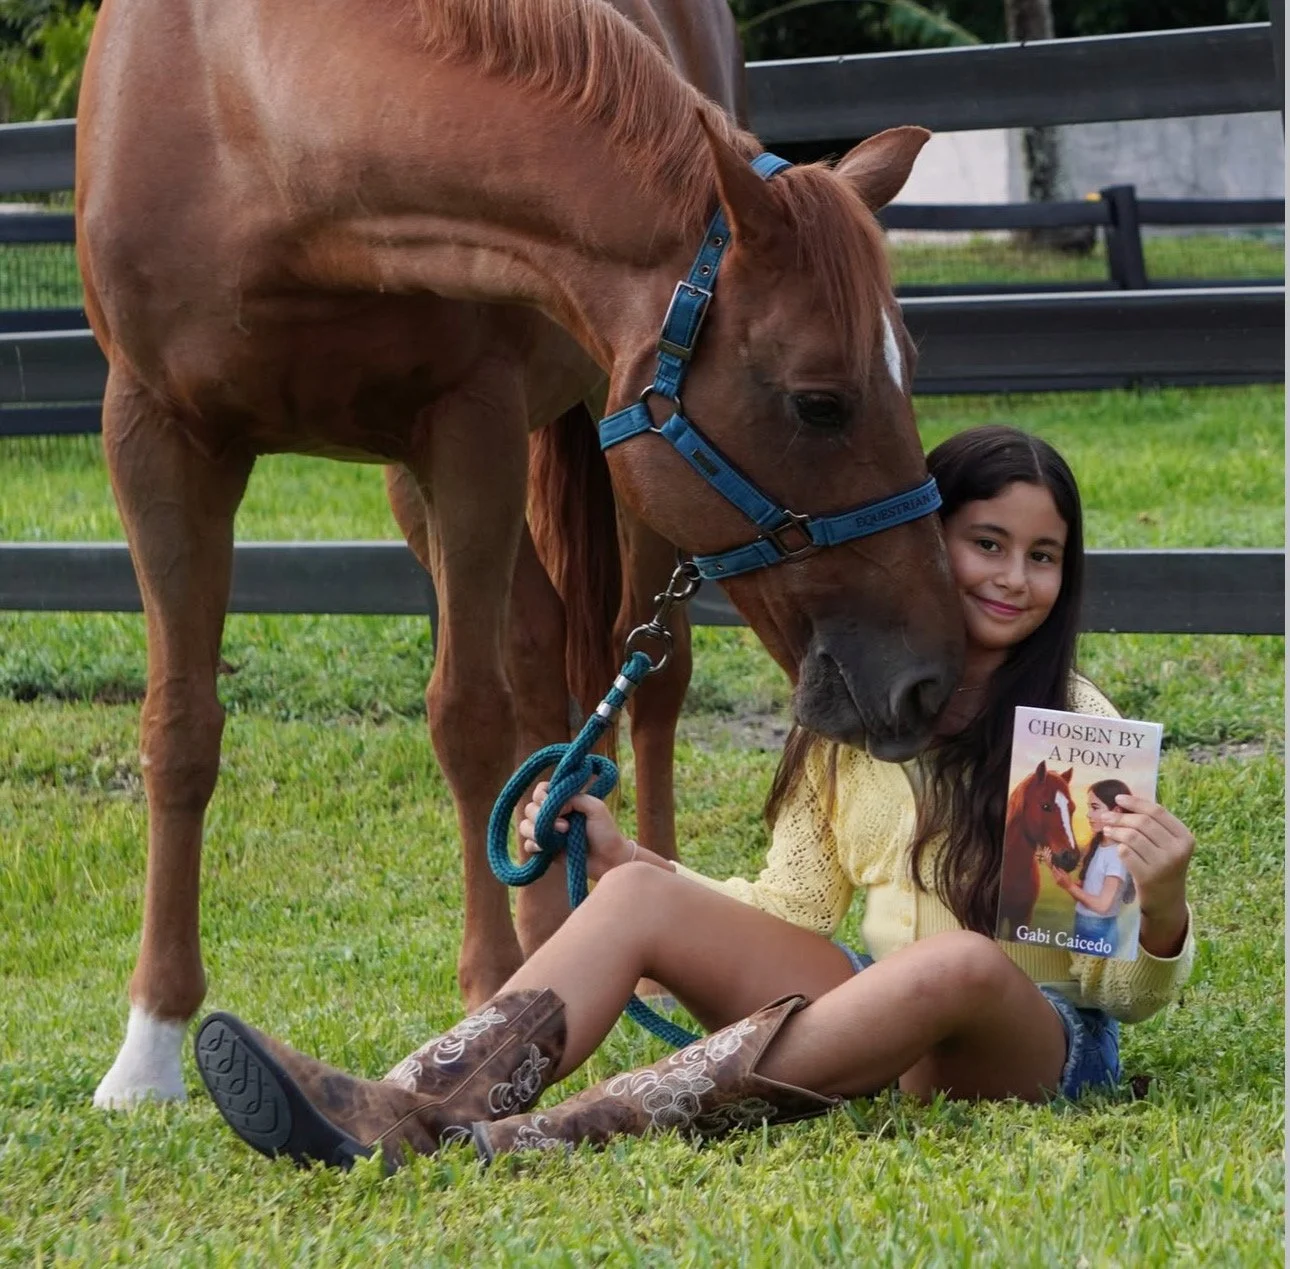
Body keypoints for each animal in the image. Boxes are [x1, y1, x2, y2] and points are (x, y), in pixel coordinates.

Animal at [76, 0, 965, 1107]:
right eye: (819, 401)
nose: (932, 678)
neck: (242, 117)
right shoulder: (155, 435)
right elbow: (180, 727)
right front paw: (148, 1044)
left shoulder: (472, 429)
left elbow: (466, 716)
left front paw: (487, 990)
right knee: (544, 667)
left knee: (651, 687)